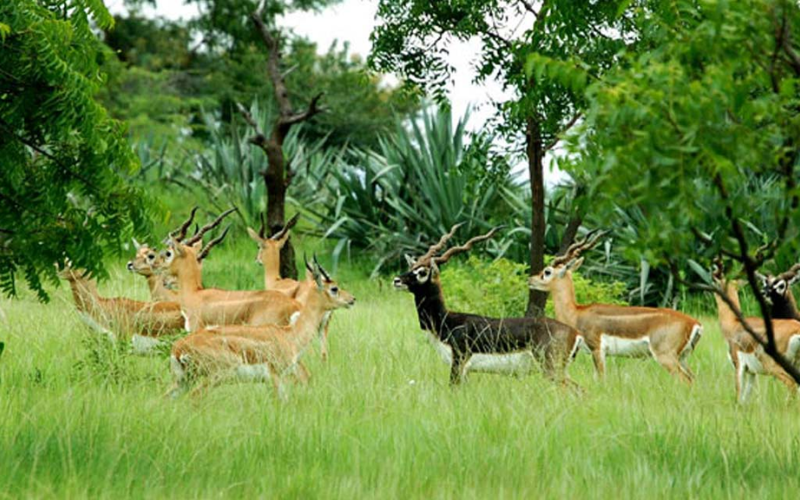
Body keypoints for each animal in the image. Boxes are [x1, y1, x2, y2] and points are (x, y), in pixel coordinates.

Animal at [166, 258, 354, 398]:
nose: (352, 299)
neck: (290, 335)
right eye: (334, 288)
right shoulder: (276, 377)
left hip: (183, 381)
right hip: (215, 377)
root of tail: (178, 348)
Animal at [394, 226, 580, 386]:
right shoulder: (466, 371)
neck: (447, 321)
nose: (397, 280)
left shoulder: (458, 362)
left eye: (422, 272)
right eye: (412, 266)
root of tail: (575, 333)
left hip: (552, 370)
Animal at [532, 230, 700, 382]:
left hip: (666, 357)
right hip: (682, 358)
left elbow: (601, 379)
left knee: (685, 380)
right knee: (693, 379)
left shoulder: (597, 349)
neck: (576, 312)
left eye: (547, 271)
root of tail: (693, 323)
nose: (530, 279)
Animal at [712, 264, 800, 404]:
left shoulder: (739, 366)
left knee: (791, 384)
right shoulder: (752, 373)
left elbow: (738, 396)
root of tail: (796, 328)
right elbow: (745, 400)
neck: (734, 324)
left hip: (776, 366)